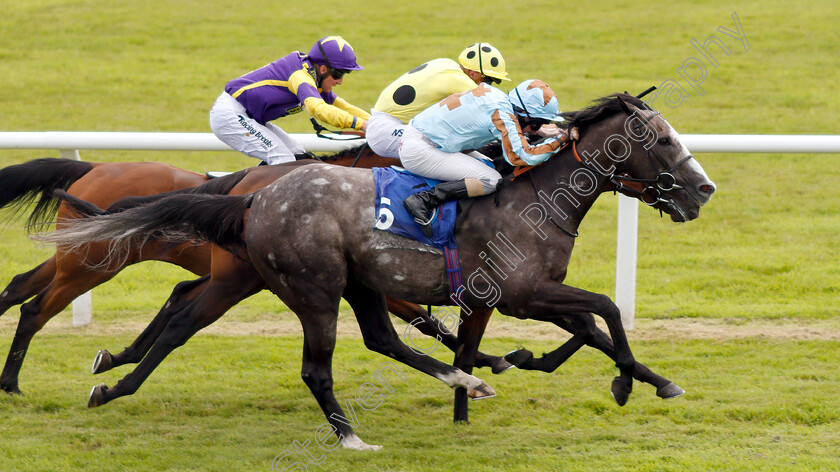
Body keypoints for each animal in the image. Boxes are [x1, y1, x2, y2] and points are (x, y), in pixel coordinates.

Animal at [39, 94, 716, 448]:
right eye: (660, 140)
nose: (703, 190)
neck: (533, 197)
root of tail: (255, 196)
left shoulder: (500, 296)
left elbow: (583, 327)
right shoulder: (523, 292)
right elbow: (604, 309)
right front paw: (626, 382)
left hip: (354, 283)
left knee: (382, 339)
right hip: (311, 288)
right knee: (310, 365)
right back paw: (350, 437)